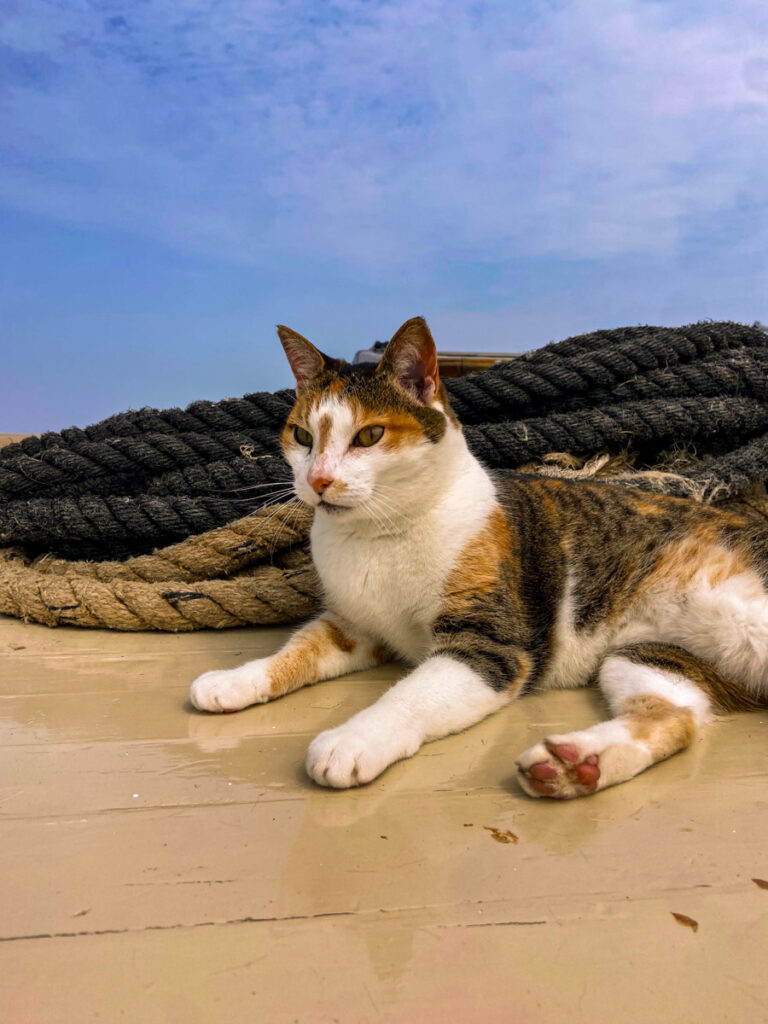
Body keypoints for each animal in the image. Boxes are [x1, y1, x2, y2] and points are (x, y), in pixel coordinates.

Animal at [191, 315, 768, 794]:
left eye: (370, 435)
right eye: (302, 436)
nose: (317, 481)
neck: (380, 534)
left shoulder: (489, 647)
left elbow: (408, 696)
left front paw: (354, 740)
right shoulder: (353, 628)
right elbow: (296, 650)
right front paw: (235, 680)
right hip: (646, 655)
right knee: (675, 718)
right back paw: (575, 766)